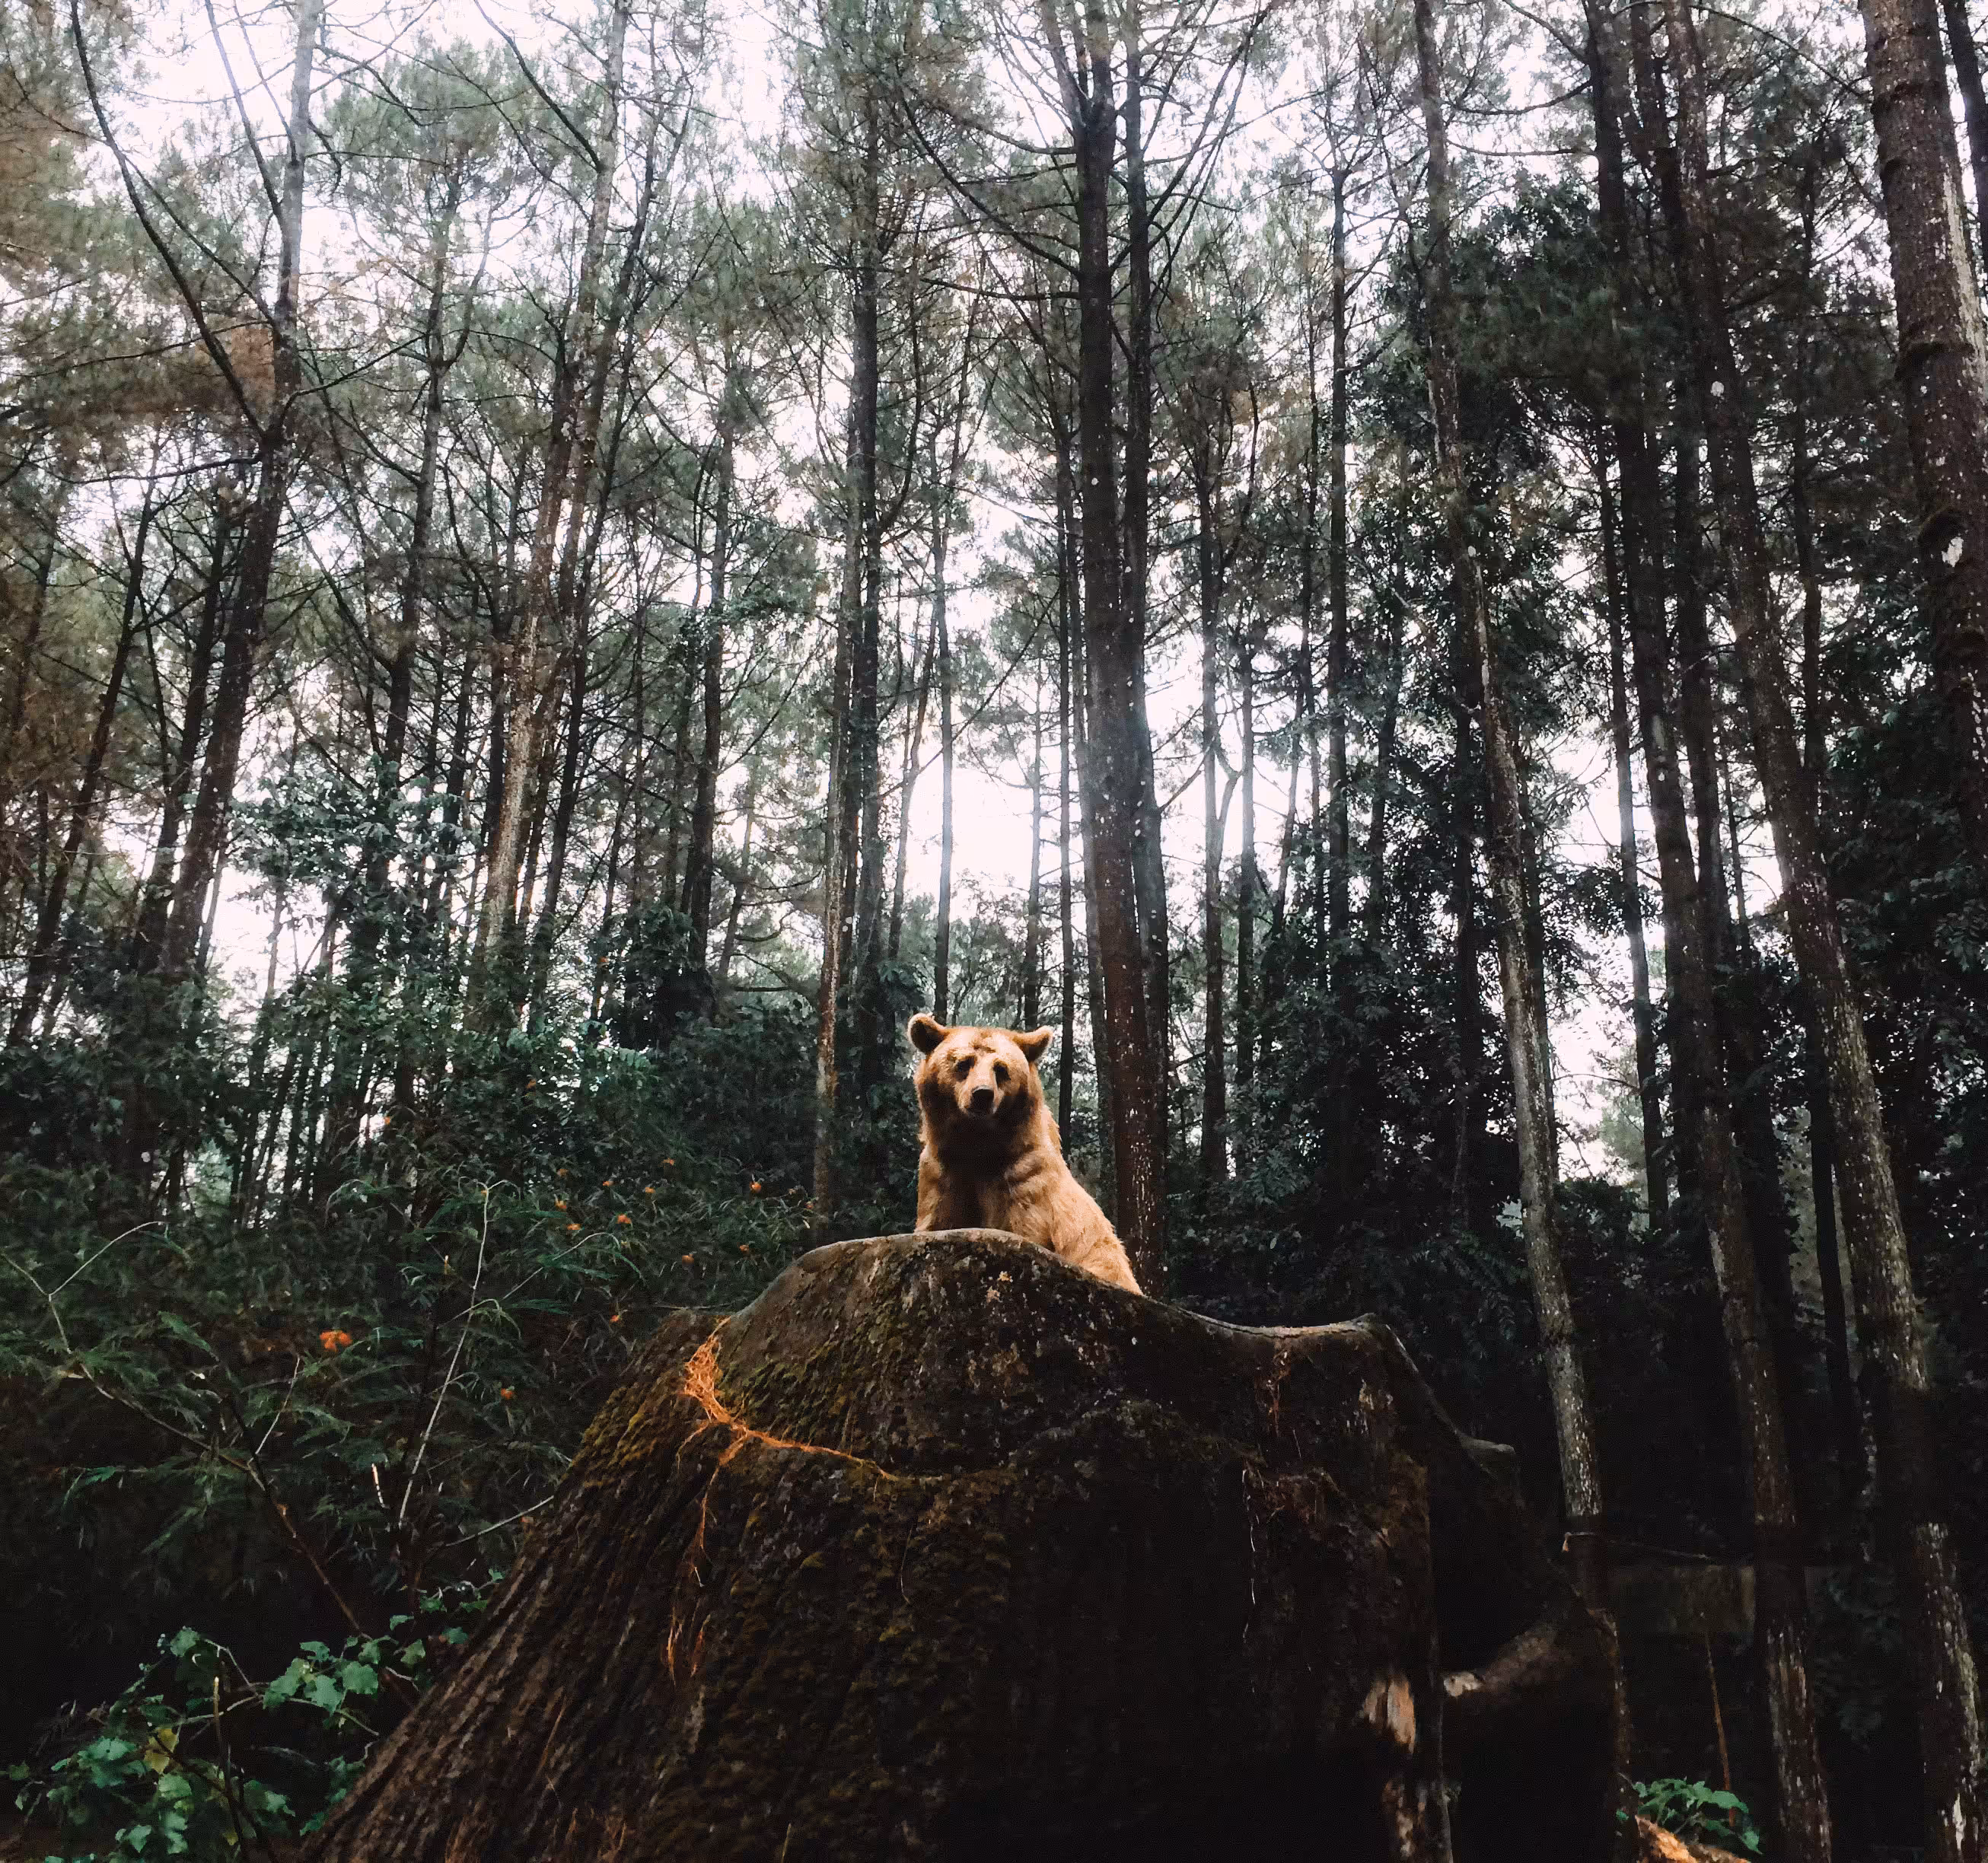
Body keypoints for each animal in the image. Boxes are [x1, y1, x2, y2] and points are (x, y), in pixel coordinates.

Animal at [907, 1012, 1142, 1293]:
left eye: (1001, 1069)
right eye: (964, 1063)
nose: (982, 1095)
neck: (978, 1147)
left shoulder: (1023, 1177)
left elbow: (1025, 1228)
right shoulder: (943, 1171)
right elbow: (938, 1220)